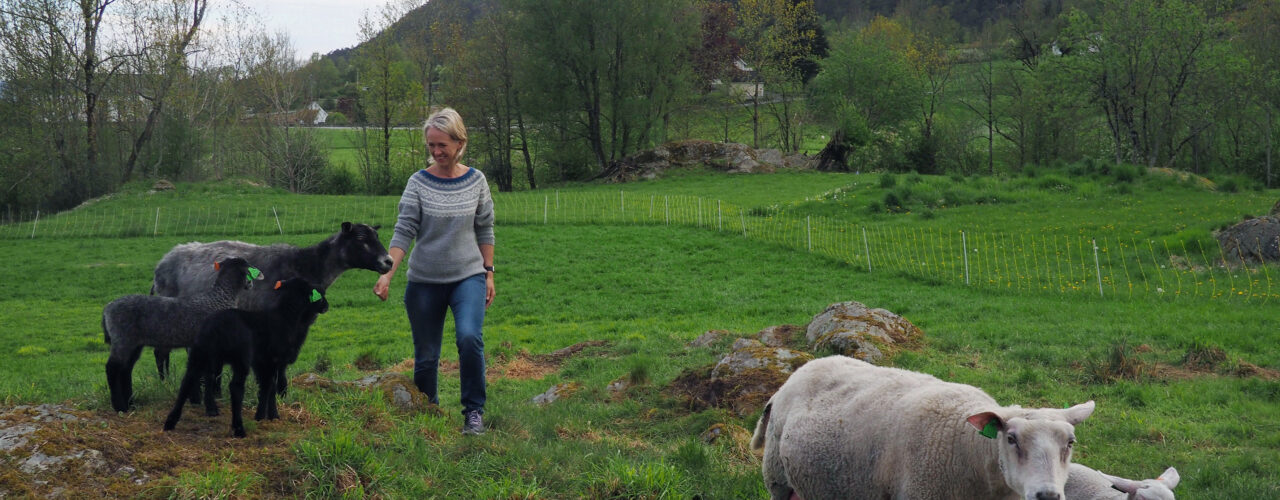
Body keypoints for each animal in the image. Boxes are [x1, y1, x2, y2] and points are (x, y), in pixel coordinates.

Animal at [101, 257, 261, 414]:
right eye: (248, 270)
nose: (251, 284)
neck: (219, 299)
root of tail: (107, 308)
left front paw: (195, 400)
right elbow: (208, 375)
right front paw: (210, 407)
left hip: (134, 343)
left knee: (126, 369)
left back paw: (131, 404)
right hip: (122, 338)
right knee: (113, 368)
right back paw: (120, 406)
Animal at [151, 221, 389, 393]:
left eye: (376, 237)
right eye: (361, 239)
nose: (389, 262)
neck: (306, 266)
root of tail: (162, 262)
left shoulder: (299, 327)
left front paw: (281, 391)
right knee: (161, 351)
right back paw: (165, 384)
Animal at [162, 277, 330, 439]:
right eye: (318, 295)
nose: (326, 306)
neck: (286, 317)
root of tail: (215, 327)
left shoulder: (261, 362)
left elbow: (266, 386)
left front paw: (262, 415)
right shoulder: (272, 360)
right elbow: (270, 386)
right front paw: (270, 415)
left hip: (200, 353)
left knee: (187, 381)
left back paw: (170, 422)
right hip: (240, 358)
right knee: (235, 388)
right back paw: (239, 429)